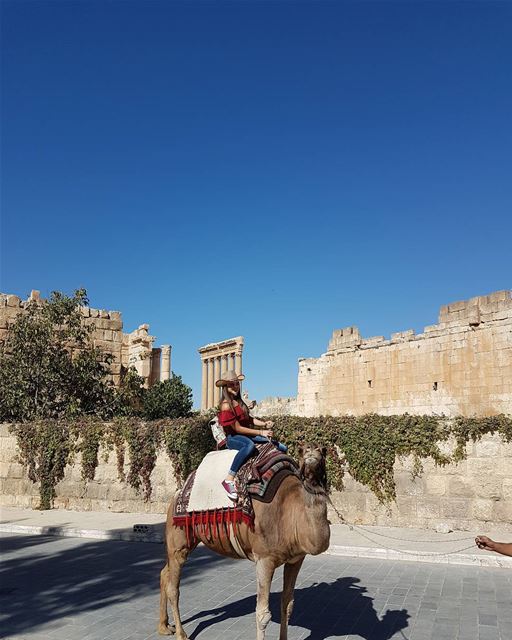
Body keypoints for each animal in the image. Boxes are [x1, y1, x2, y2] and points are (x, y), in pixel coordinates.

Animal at [158, 444, 330, 640]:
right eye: (303, 451)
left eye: (323, 451)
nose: (312, 454)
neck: (291, 510)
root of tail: (177, 494)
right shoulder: (264, 558)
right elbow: (262, 614)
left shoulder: (296, 559)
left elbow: (287, 605)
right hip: (178, 540)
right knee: (174, 587)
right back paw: (181, 634)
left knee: (164, 573)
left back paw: (164, 627)